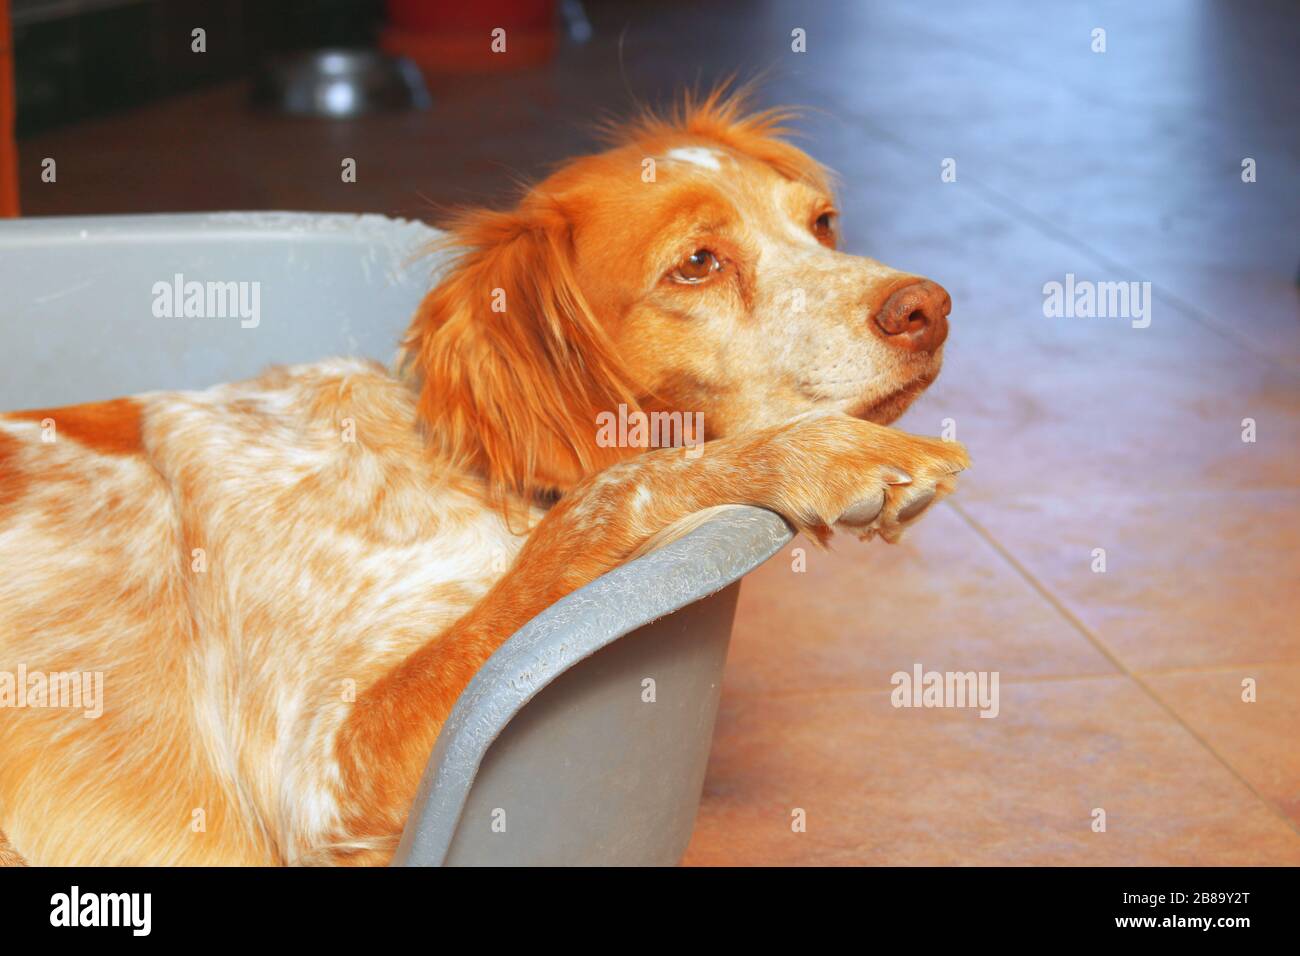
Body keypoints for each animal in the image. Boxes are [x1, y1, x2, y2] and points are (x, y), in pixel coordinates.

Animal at [0, 91, 972, 868]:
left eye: (822, 224)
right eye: (698, 262)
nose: (927, 306)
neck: (465, 475)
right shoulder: (323, 774)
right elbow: (614, 492)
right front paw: (831, 454)